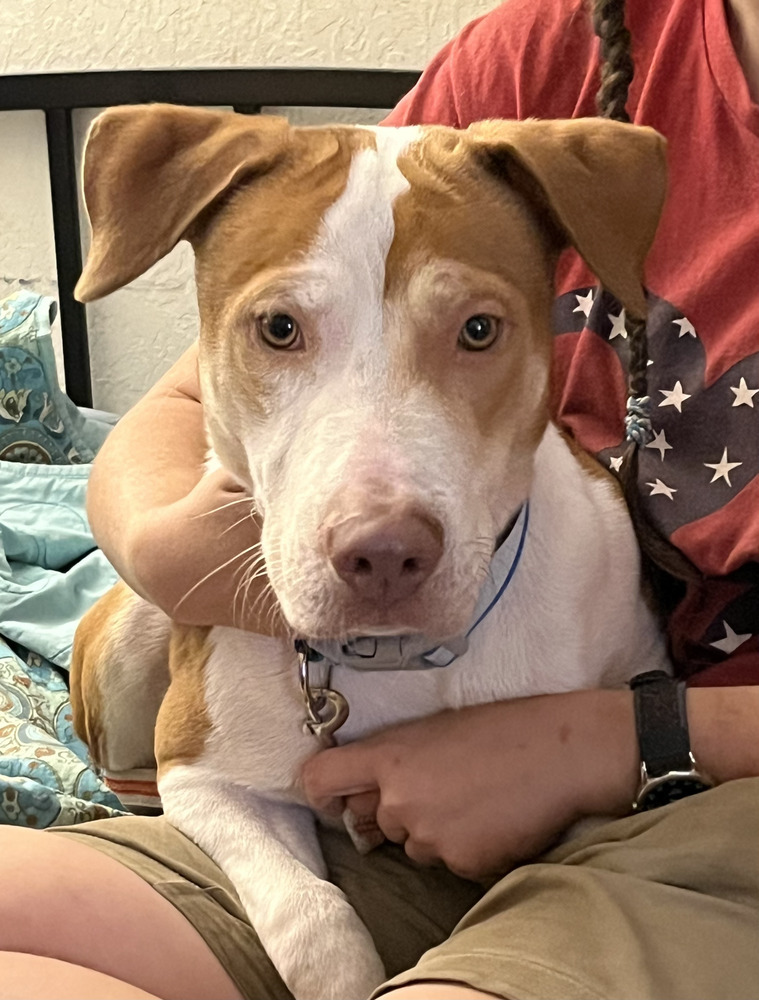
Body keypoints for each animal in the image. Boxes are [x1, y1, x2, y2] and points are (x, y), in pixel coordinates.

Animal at [68, 105, 668, 996]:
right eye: (278, 327)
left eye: (478, 329)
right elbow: (312, 917)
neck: (397, 659)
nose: (383, 553)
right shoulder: (207, 778)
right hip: (131, 635)